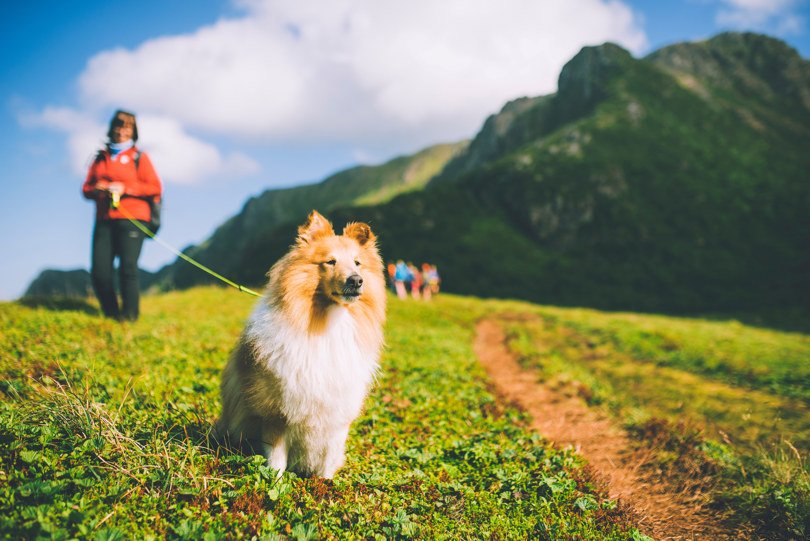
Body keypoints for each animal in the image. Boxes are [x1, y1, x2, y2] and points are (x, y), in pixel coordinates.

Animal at [215, 211, 386, 476]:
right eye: (330, 262)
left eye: (358, 263)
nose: (356, 281)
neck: (327, 323)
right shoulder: (277, 411)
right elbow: (276, 459)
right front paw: (274, 483)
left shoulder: (337, 412)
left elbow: (329, 457)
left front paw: (325, 484)